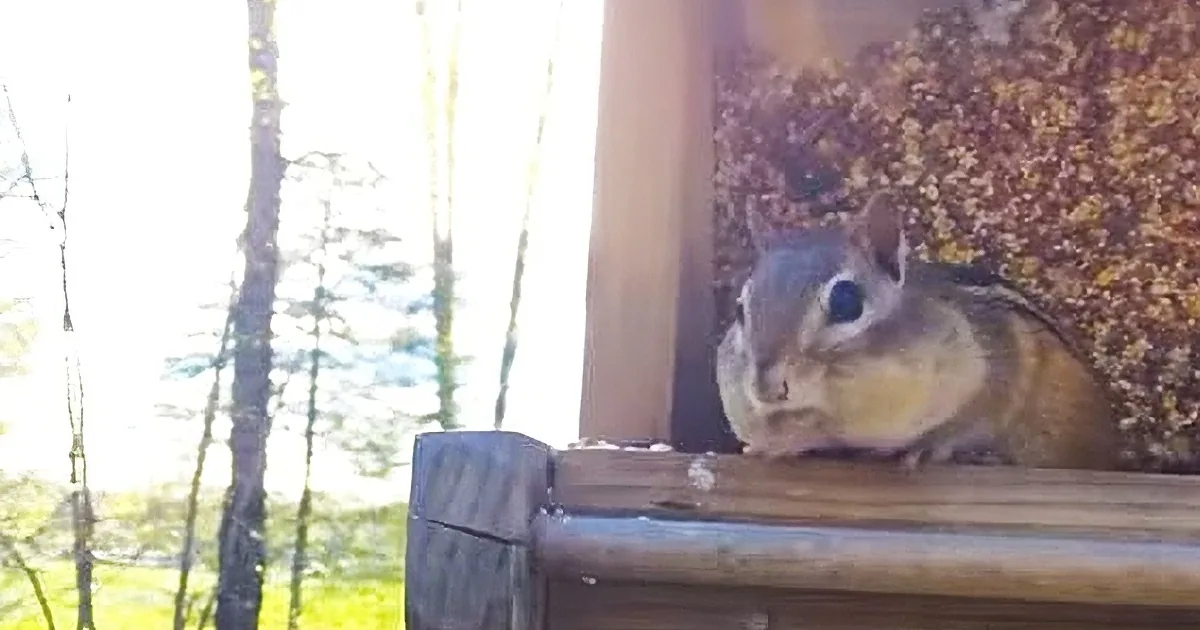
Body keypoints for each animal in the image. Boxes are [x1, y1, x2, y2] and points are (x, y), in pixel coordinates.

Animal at [715, 192, 1120, 470]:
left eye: (847, 302)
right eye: (739, 309)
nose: (766, 388)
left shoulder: (998, 367)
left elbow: (970, 418)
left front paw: (927, 446)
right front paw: (774, 440)